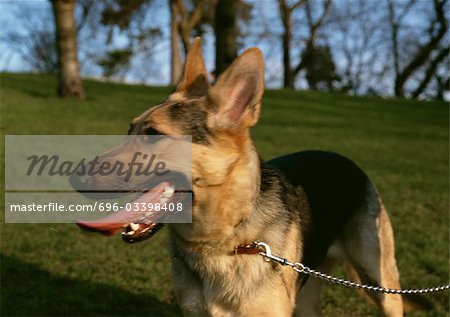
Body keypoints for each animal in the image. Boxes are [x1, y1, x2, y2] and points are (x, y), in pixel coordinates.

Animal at [74, 38, 426, 314]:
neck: (225, 241)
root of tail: (343, 159)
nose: (74, 177)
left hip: (381, 283)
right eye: (129, 130)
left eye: (153, 135)